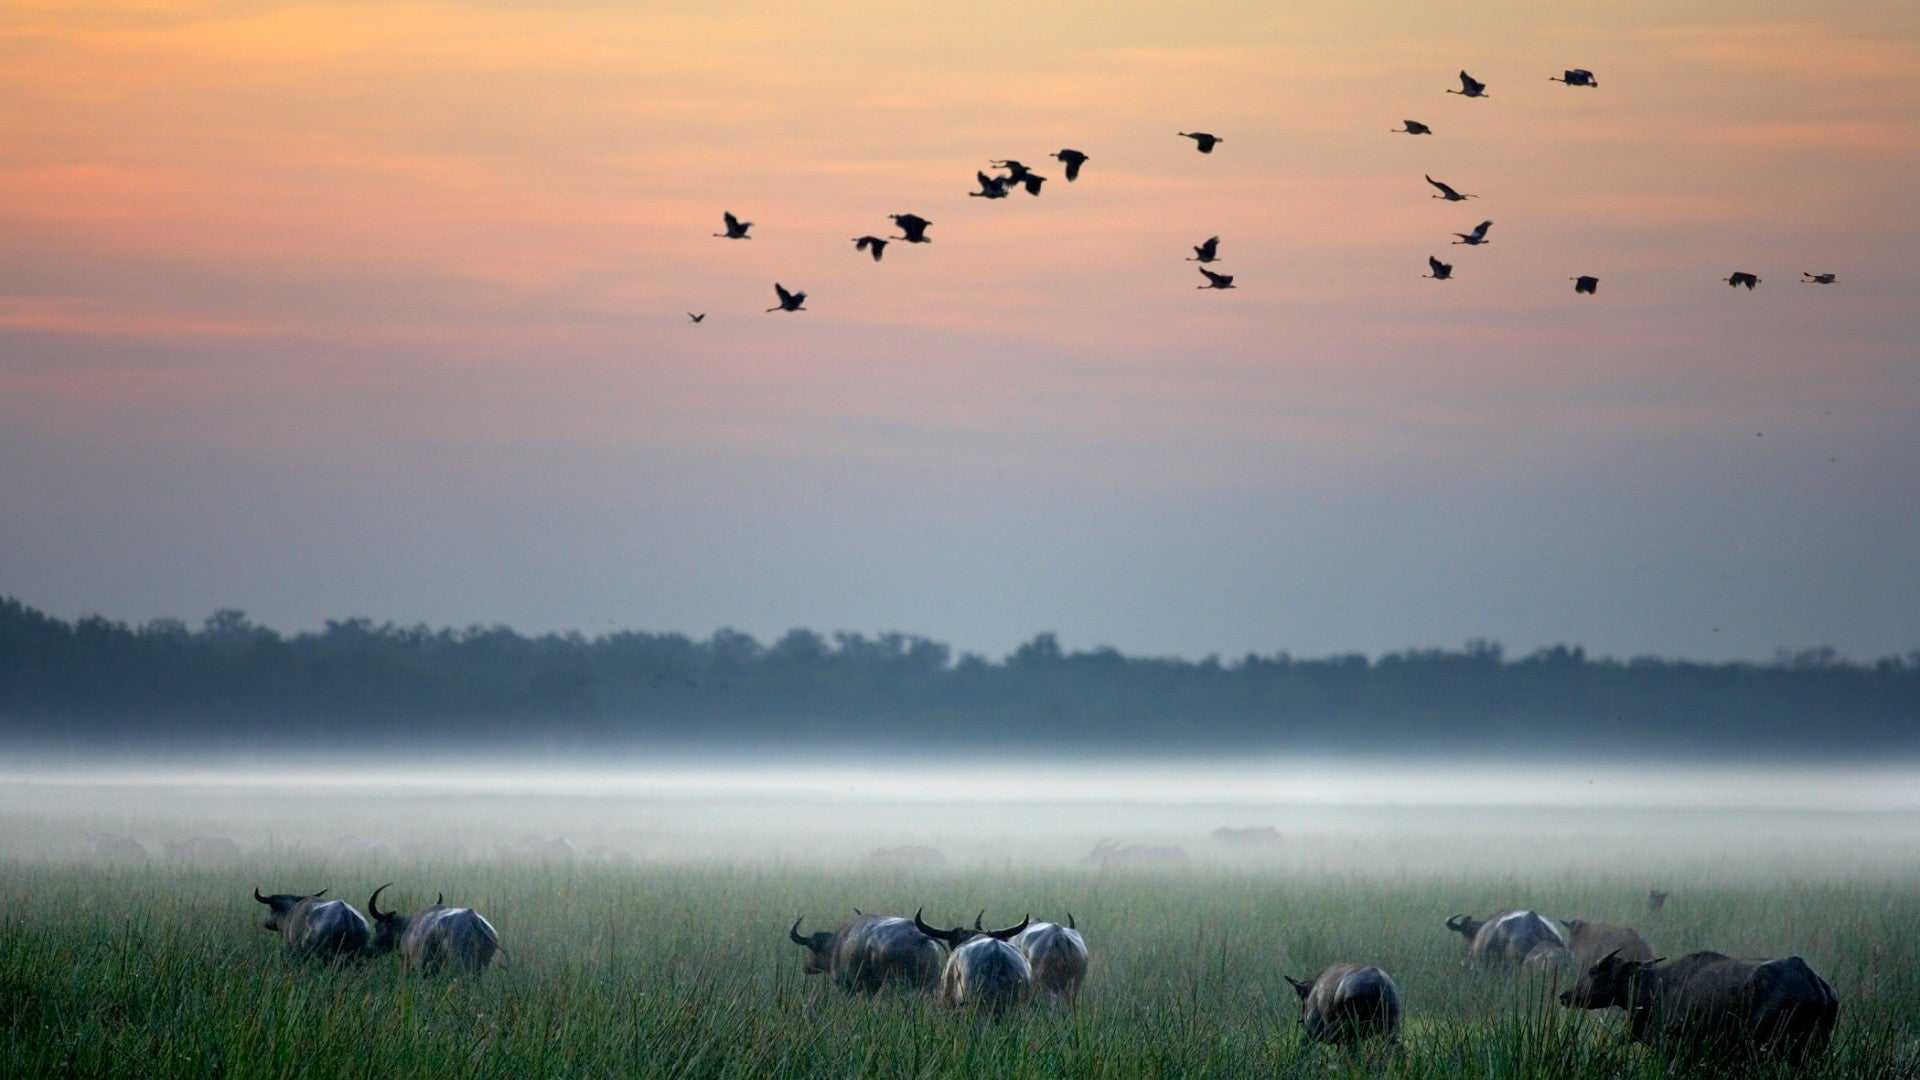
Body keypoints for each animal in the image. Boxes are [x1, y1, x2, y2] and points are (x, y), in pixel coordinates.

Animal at [788, 913, 944, 994]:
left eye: (811, 947)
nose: (806, 967)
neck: (834, 945)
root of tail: (920, 936)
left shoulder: (845, 986)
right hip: (931, 983)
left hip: (898, 983)